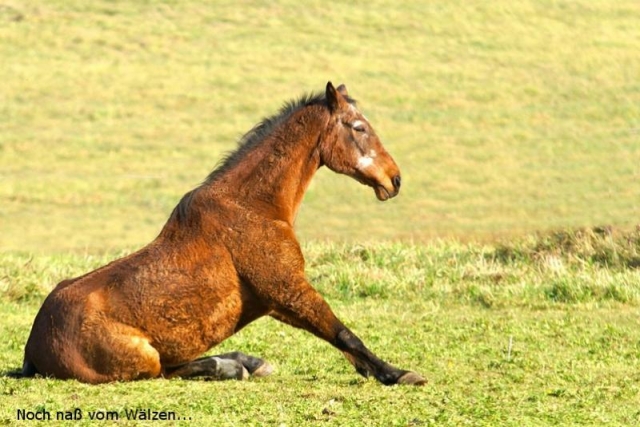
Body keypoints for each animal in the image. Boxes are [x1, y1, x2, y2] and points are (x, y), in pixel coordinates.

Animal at [21, 82, 424, 386]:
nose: (395, 180)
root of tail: (33, 346)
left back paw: (245, 362)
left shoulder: (277, 302)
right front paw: (399, 373)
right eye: (358, 127)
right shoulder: (289, 290)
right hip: (144, 357)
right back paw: (233, 366)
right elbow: (343, 333)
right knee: (167, 371)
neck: (252, 208)